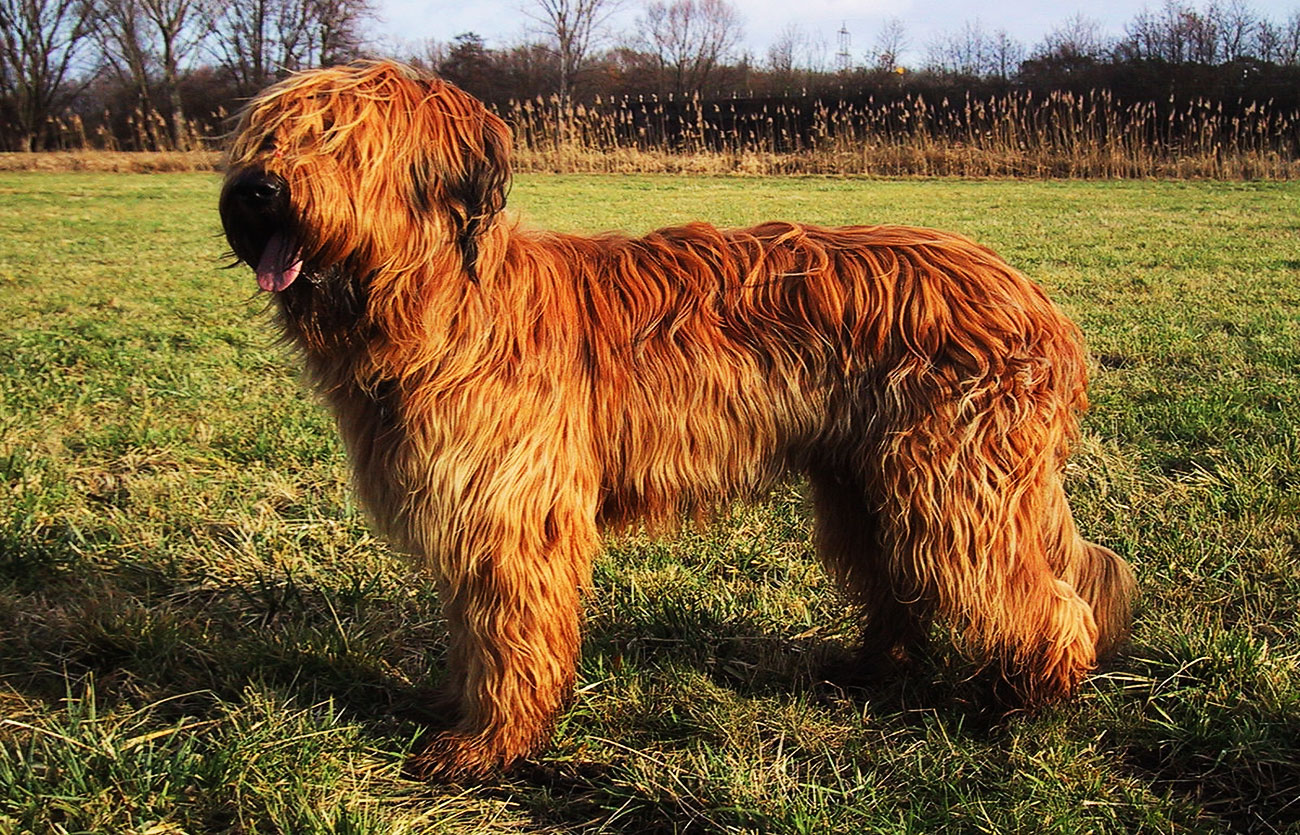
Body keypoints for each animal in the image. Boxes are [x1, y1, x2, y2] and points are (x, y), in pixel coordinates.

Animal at [220, 60, 1138, 780]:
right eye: (267, 136)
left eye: (341, 141)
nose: (256, 189)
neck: (442, 305)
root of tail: (1034, 299)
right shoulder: (475, 512)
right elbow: (473, 629)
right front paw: (460, 708)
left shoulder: (513, 515)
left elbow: (511, 633)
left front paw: (489, 744)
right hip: (869, 482)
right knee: (900, 584)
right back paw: (870, 668)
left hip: (954, 481)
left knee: (1033, 593)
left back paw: (1027, 698)